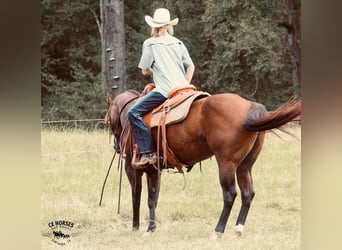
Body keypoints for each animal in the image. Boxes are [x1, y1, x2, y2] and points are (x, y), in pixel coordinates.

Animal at [105, 86, 300, 238]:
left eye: (108, 122)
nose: (116, 146)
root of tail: (250, 106)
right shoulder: (154, 170)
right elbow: (153, 199)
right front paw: (151, 228)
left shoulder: (132, 169)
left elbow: (136, 197)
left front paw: (135, 227)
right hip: (244, 166)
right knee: (247, 194)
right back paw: (238, 229)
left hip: (226, 164)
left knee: (230, 194)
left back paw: (218, 231)